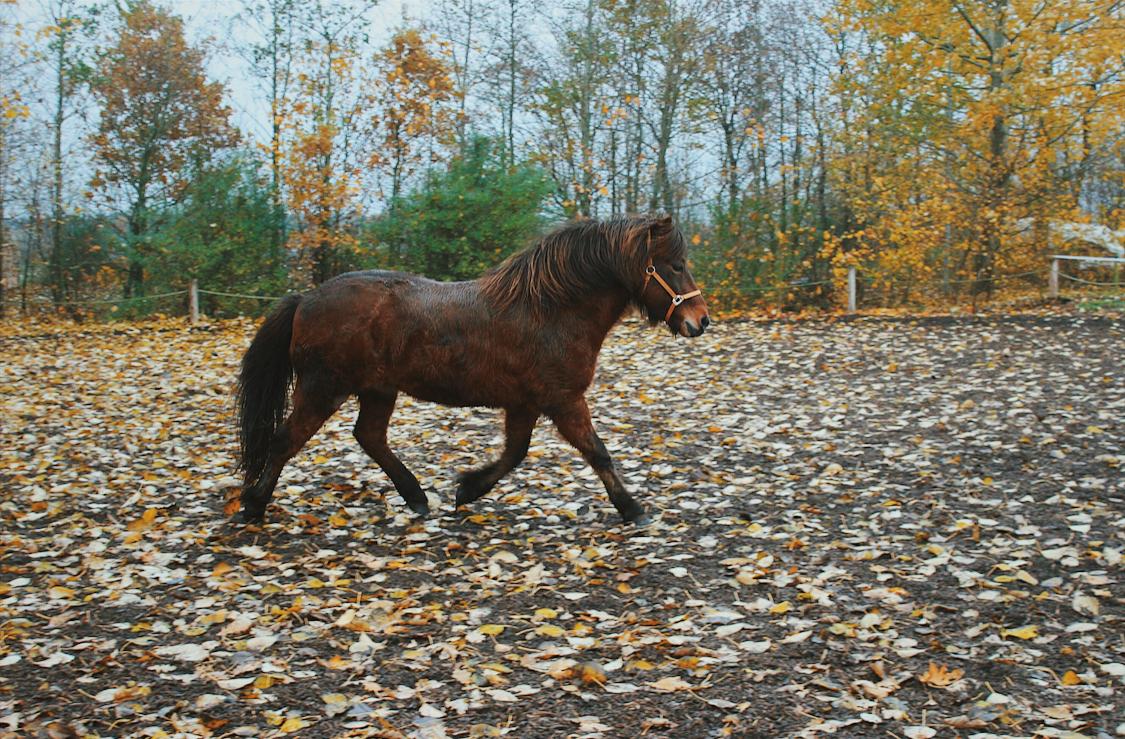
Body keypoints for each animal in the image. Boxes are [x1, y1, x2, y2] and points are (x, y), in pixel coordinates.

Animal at [237, 213, 711, 524]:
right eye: (675, 266)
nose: (701, 321)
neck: (551, 310)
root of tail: (306, 298)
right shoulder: (564, 400)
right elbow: (597, 451)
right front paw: (632, 508)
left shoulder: (526, 403)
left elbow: (514, 453)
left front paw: (467, 489)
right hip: (322, 389)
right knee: (285, 441)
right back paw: (253, 505)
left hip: (378, 390)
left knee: (369, 437)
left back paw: (416, 497)